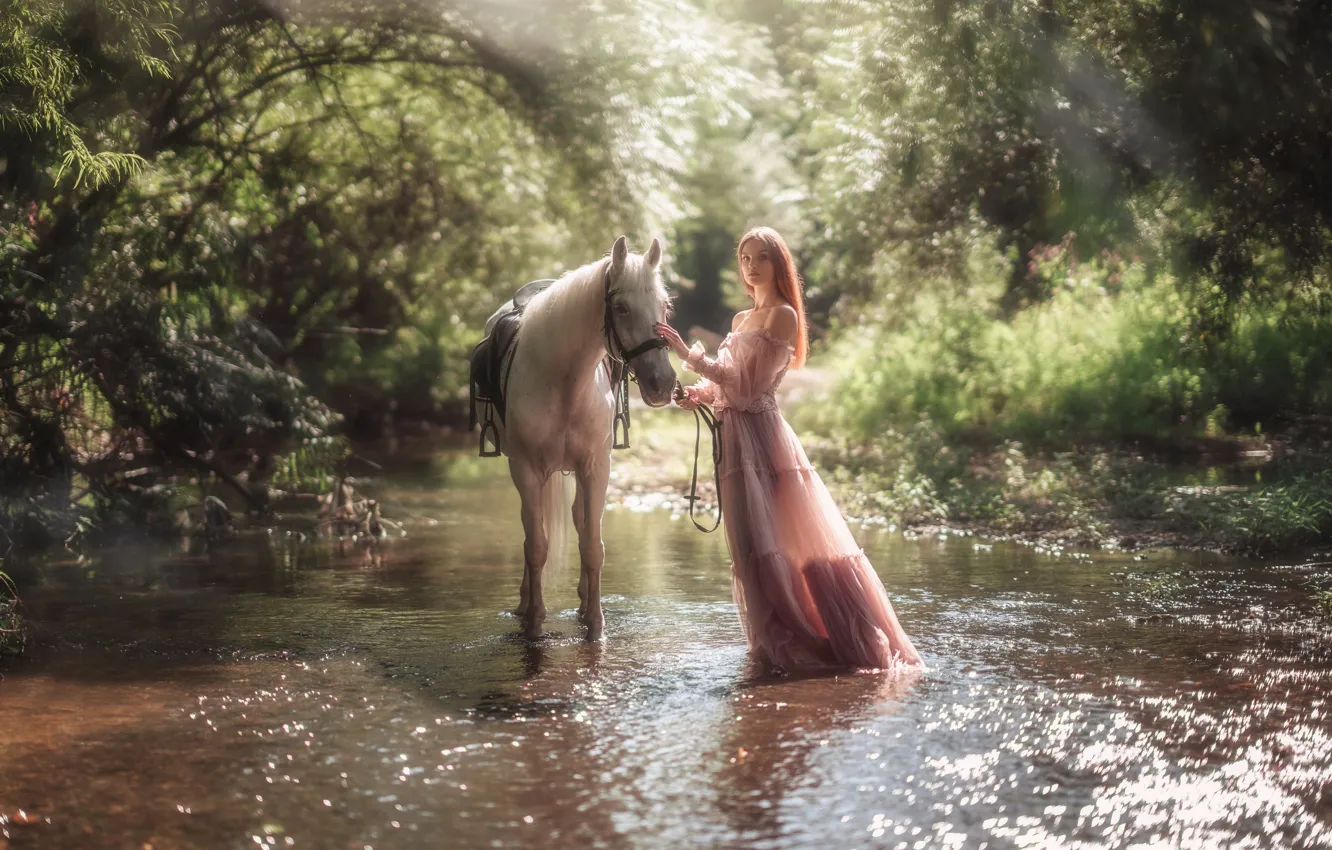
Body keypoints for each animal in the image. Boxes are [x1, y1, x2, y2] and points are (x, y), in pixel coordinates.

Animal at [498, 234, 676, 639]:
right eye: (622, 308)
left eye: (664, 306)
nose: (663, 383)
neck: (564, 383)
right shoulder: (525, 469)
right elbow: (536, 546)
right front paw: (535, 622)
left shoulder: (596, 467)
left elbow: (593, 546)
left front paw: (595, 623)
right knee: (531, 530)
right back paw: (525, 602)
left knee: (579, 523)